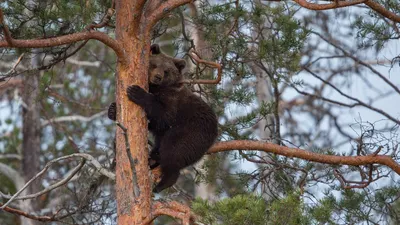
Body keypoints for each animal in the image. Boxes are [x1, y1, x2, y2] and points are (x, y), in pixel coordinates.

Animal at [108, 44, 217, 193]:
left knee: (173, 150)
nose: (157, 77)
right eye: (154, 65)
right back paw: (152, 160)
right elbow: (153, 123)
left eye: (166, 71)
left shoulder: (172, 101)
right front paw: (112, 109)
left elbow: (163, 116)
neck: (156, 88)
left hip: (192, 132)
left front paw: (136, 91)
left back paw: (162, 183)